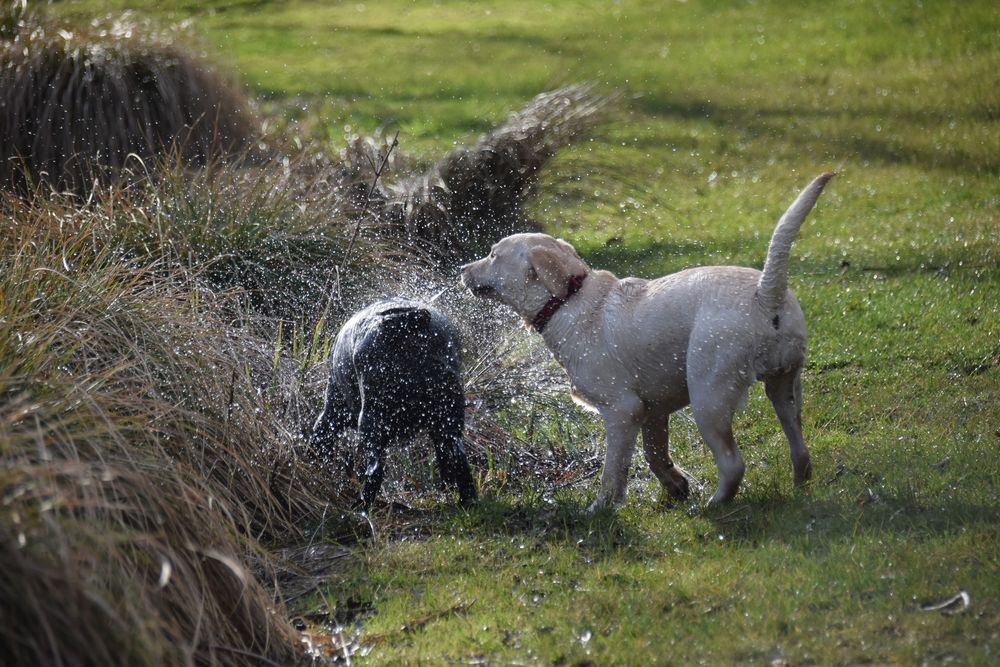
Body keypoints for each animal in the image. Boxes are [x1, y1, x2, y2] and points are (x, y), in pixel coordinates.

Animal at [310, 300, 478, 508]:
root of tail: (407, 320)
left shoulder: (333, 412)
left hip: (372, 421)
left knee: (375, 471)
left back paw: (363, 505)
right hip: (449, 420)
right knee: (459, 460)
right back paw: (467, 500)